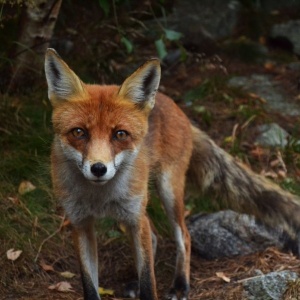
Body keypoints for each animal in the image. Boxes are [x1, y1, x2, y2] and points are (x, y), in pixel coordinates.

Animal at [44, 48, 300, 298]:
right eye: (79, 132)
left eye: (120, 134)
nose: (98, 168)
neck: (98, 197)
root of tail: (173, 105)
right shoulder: (80, 224)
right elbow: (90, 286)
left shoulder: (135, 218)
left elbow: (149, 282)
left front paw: (151, 287)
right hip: (136, 210)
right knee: (154, 237)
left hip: (167, 193)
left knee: (183, 237)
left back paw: (180, 285)